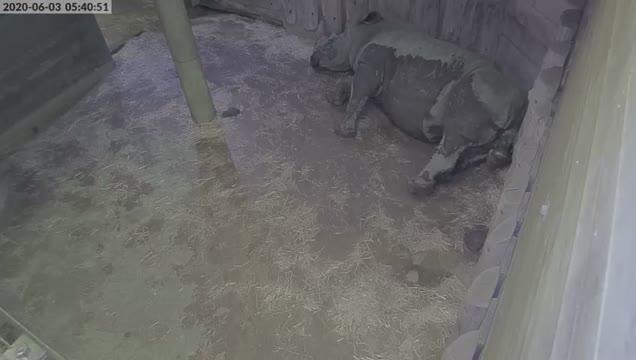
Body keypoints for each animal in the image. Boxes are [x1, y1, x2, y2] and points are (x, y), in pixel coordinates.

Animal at [310, 12, 524, 195]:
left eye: (330, 43)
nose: (312, 58)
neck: (363, 34)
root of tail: (516, 109)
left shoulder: (371, 64)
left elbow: (358, 95)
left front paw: (342, 130)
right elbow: (350, 81)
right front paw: (333, 97)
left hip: (480, 94)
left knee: (456, 132)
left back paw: (416, 186)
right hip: (493, 104)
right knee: (484, 150)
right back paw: (450, 175)